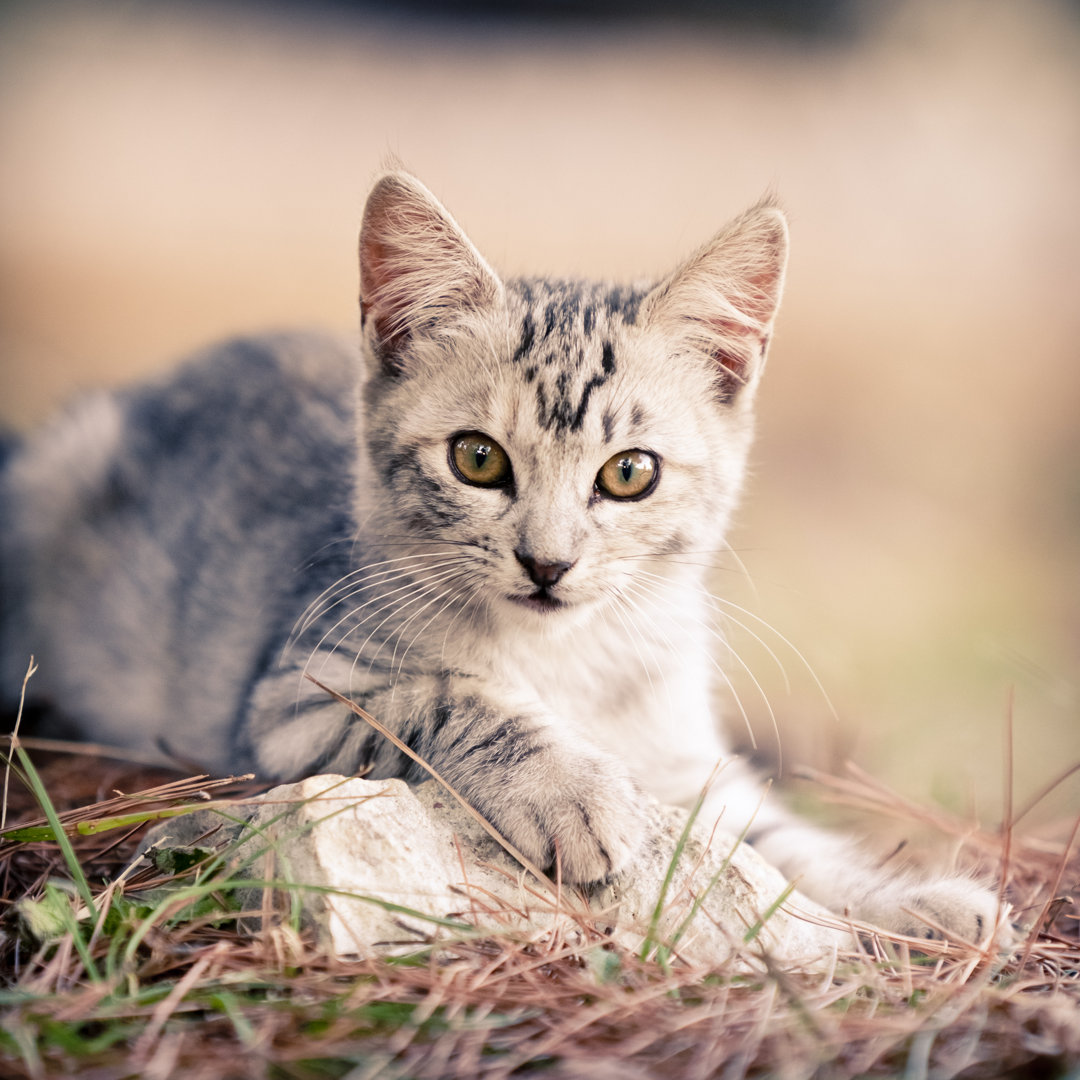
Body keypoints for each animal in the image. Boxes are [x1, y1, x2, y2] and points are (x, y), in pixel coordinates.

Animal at [0, 172, 993, 941]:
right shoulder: (296, 700)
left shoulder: (687, 766)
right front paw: (571, 790)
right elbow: (451, 696)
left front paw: (913, 903)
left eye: (630, 473)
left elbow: (781, 842)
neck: (569, 662)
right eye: (477, 459)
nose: (547, 563)